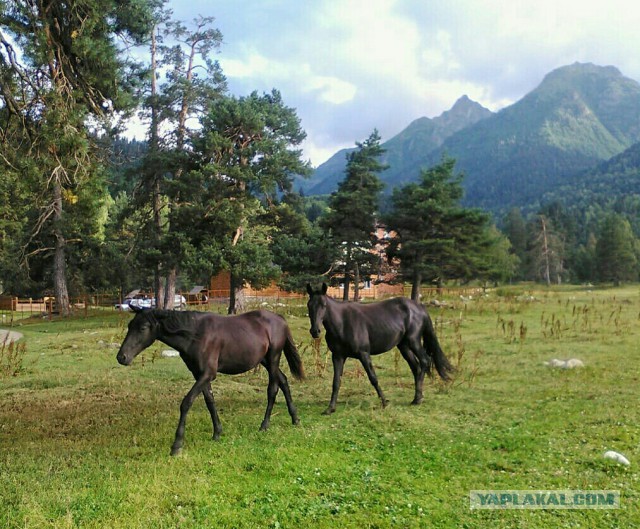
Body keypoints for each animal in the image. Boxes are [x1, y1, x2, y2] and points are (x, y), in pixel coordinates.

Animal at [115, 306, 304, 454]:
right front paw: (217, 433)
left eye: (143, 328)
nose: (121, 357)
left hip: (273, 358)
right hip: (264, 360)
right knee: (284, 381)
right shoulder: (199, 374)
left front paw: (177, 445)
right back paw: (295, 419)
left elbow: (186, 402)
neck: (195, 334)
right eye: (130, 325)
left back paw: (264, 425)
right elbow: (210, 401)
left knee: (273, 389)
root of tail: (279, 318)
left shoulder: (208, 374)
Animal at [304, 282, 450, 414]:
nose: (315, 331)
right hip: (404, 346)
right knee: (416, 368)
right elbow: (336, 382)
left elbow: (373, 378)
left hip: (413, 342)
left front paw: (384, 402)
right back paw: (416, 398)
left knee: (425, 361)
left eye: (324, 305)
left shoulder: (364, 354)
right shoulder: (338, 356)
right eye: (309, 305)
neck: (343, 323)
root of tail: (419, 307)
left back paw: (418, 398)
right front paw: (330, 408)